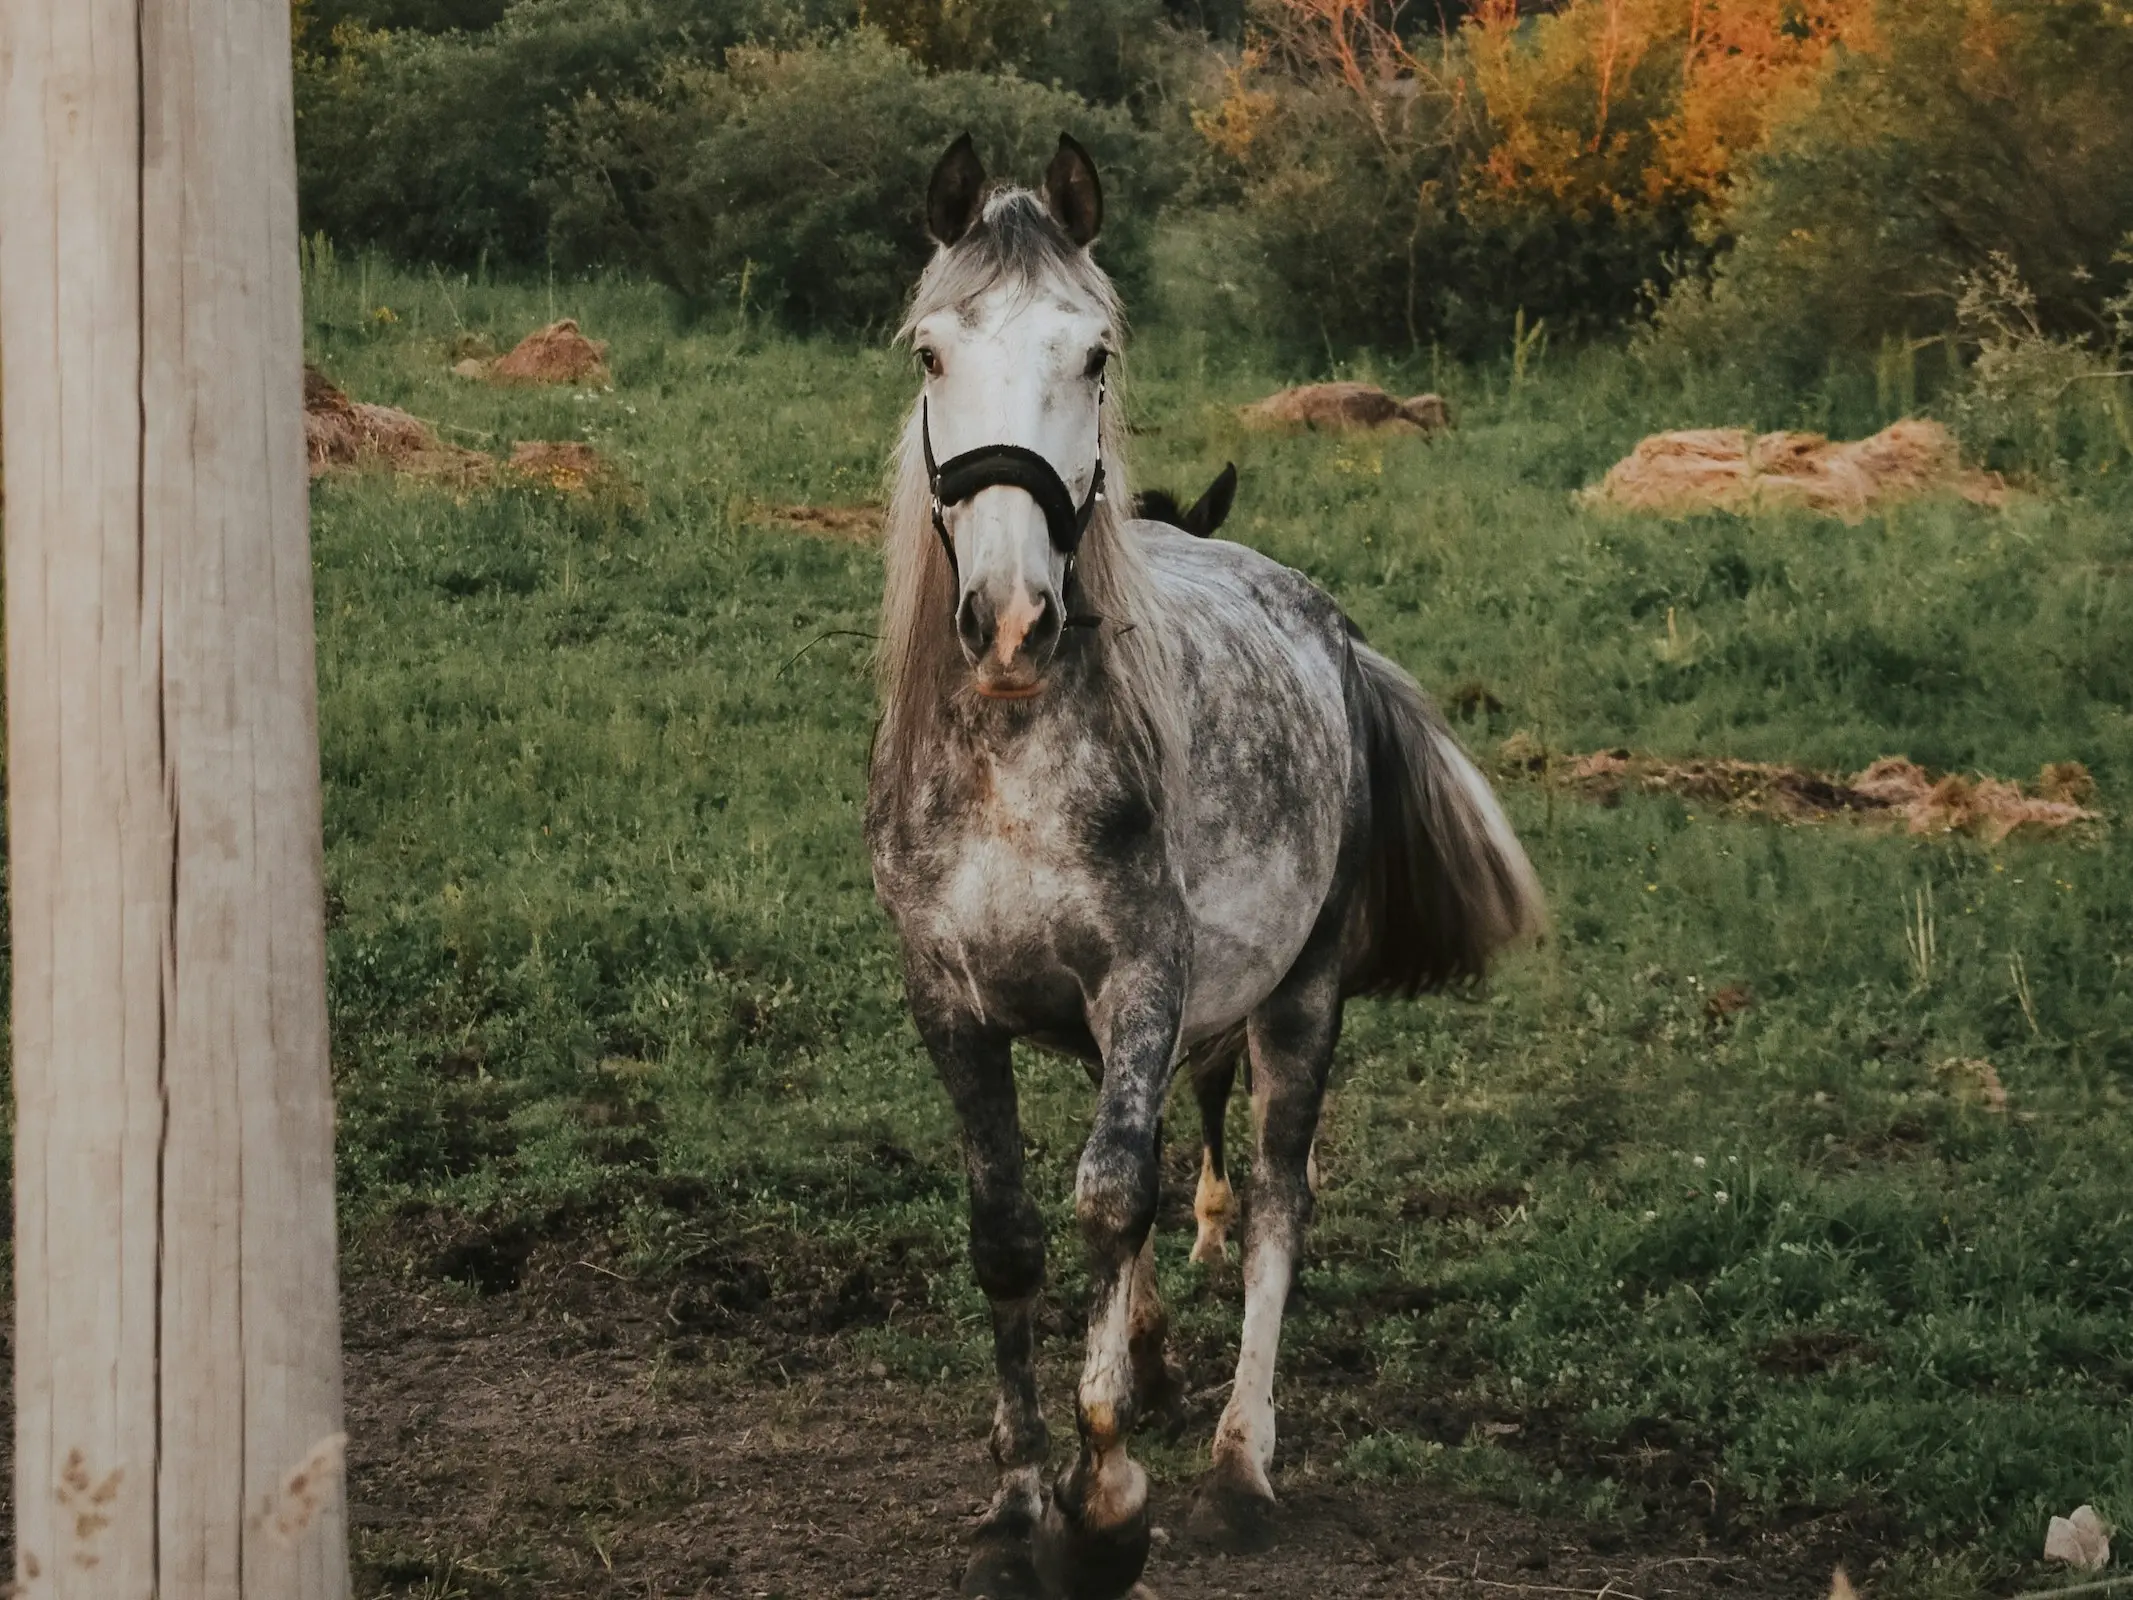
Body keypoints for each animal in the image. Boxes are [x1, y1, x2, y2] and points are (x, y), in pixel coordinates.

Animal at [865, 131, 1552, 1595]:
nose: (1010, 622)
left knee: (1282, 1200)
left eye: (1097, 354)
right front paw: (1019, 1500)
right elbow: (1009, 1237)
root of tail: (1330, 629)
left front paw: (1108, 1503)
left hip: (1302, 998)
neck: (1014, 764)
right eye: (930, 351)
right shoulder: (948, 1003)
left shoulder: (1143, 986)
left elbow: (1114, 1200)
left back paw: (1242, 1462)